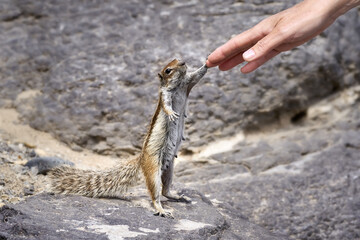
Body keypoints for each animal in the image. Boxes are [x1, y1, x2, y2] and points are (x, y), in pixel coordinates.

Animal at [49, 59, 210, 218]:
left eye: (178, 60)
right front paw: (171, 113)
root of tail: (141, 159)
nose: (183, 63)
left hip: (169, 169)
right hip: (153, 169)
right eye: (168, 70)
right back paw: (161, 209)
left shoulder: (188, 82)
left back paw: (178, 196)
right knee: (155, 194)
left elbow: (198, 75)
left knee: (166, 190)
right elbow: (166, 105)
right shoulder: (165, 94)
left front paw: (207, 62)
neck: (178, 84)